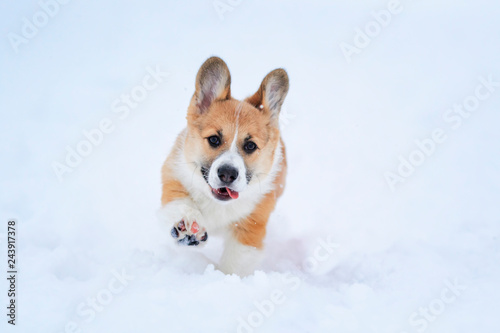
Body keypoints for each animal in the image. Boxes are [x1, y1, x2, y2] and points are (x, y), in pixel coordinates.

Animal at [158, 57, 288, 274]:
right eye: (214, 139)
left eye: (250, 145)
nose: (227, 174)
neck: (217, 203)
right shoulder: (175, 176)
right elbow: (180, 202)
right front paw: (189, 227)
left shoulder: (250, 227)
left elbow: (236, 263)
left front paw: (225, 278)